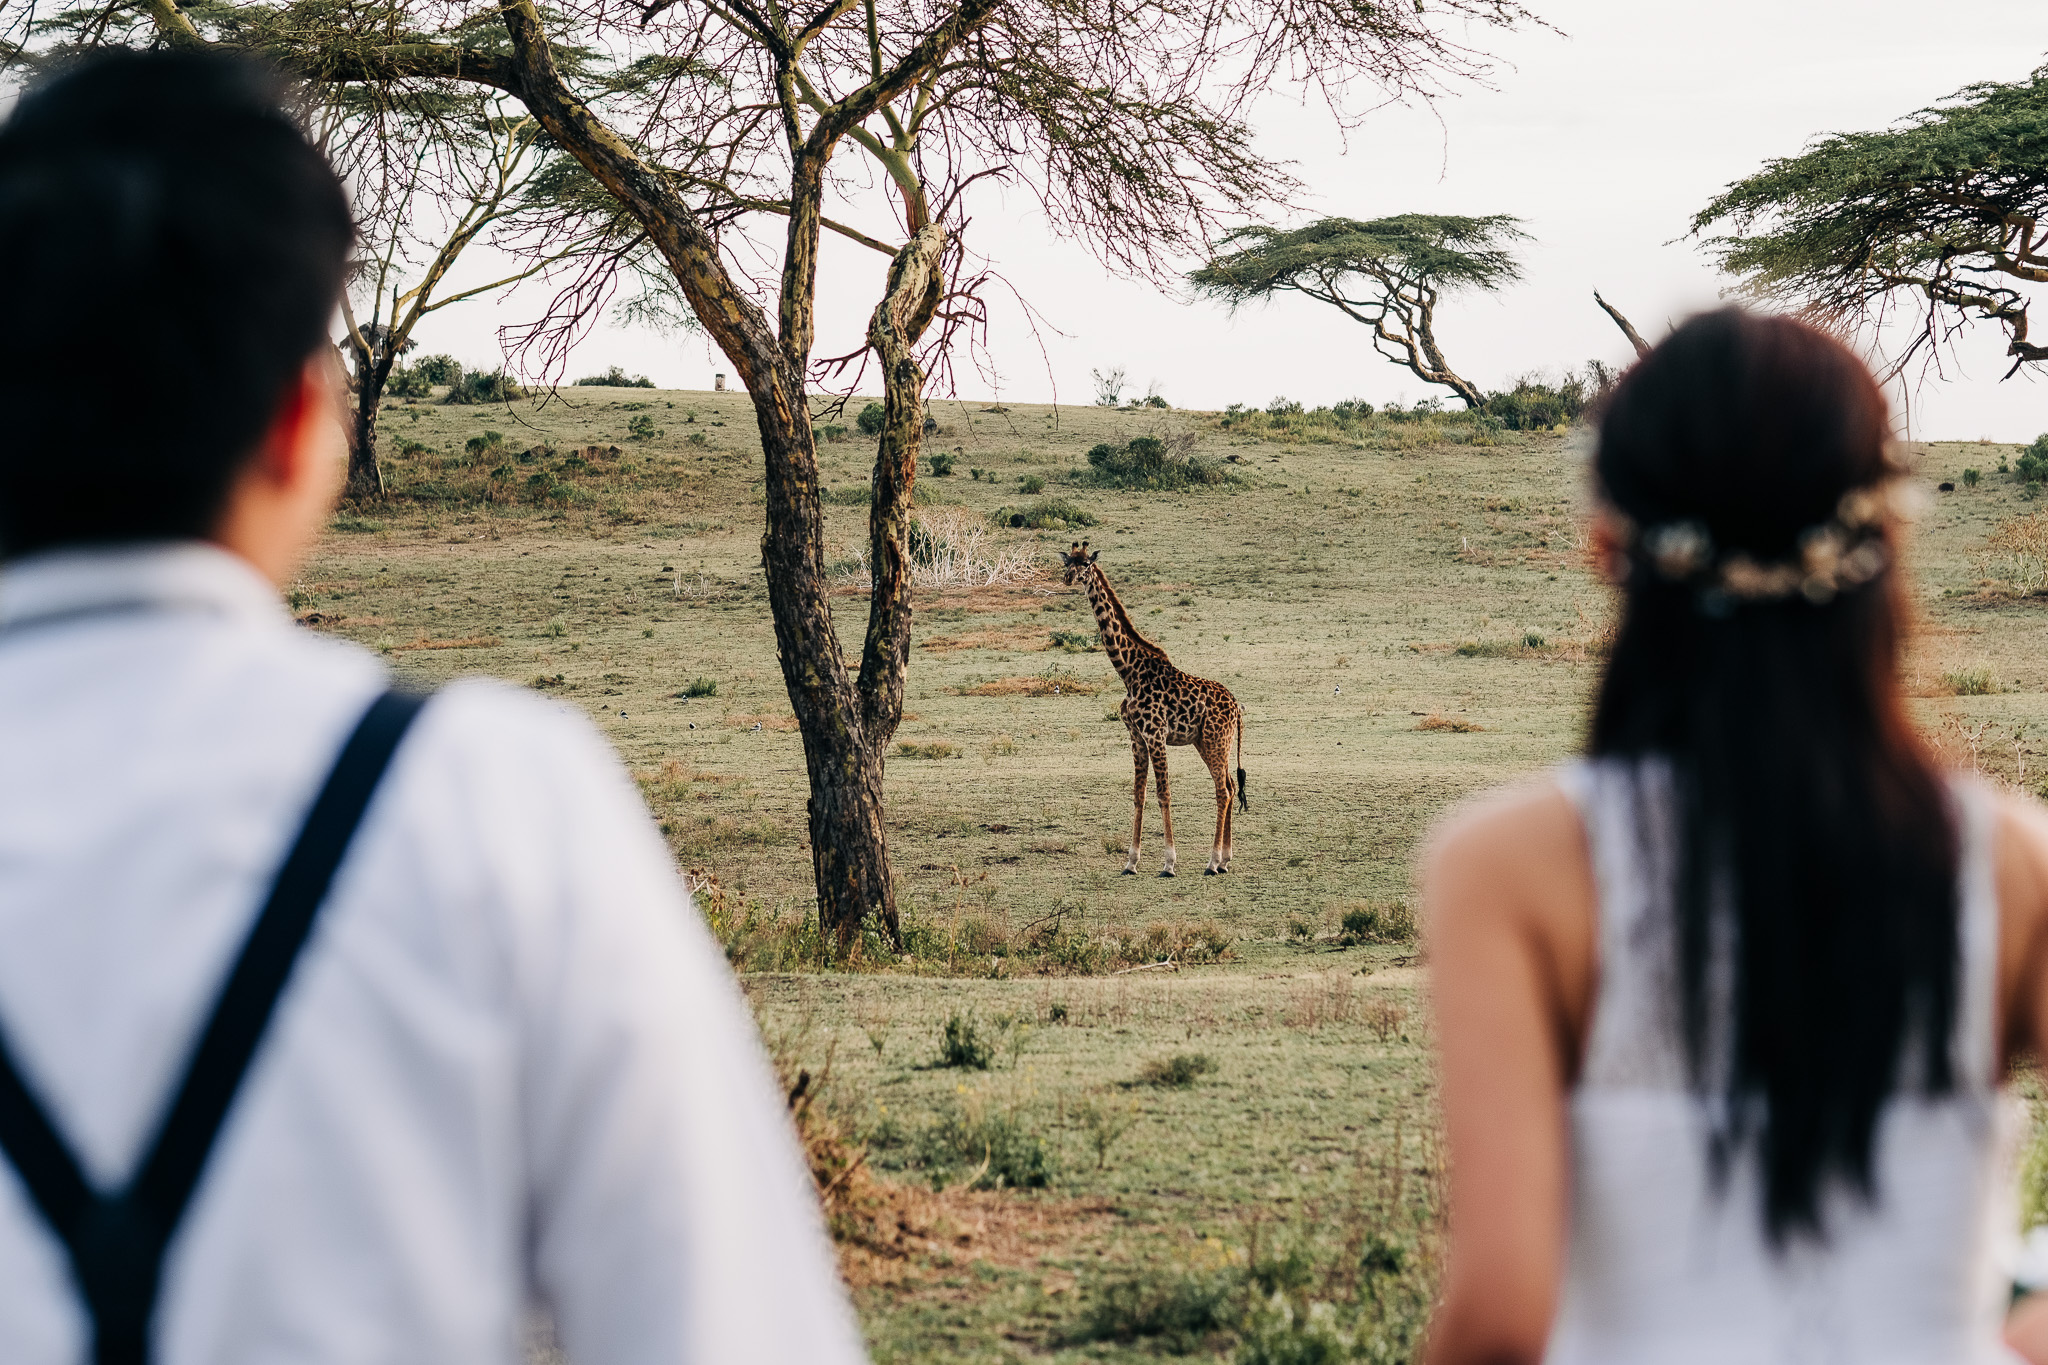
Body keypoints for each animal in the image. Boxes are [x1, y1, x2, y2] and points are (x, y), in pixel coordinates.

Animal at [1056, 540, 1245, 875]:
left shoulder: (1156, 734)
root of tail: (1236, 706)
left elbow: (1163, 794)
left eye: (1086, 565)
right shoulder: (1136, 737)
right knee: (1230, 786)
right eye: (1069, 562)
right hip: (1206, 742)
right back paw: (1224, 859)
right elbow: (1139, 795)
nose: (1068, 578)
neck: (1129, 672)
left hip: (1215, 740)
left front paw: (1169, 863)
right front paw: (1131, 861)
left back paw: (1212, 862)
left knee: (1223, 791)